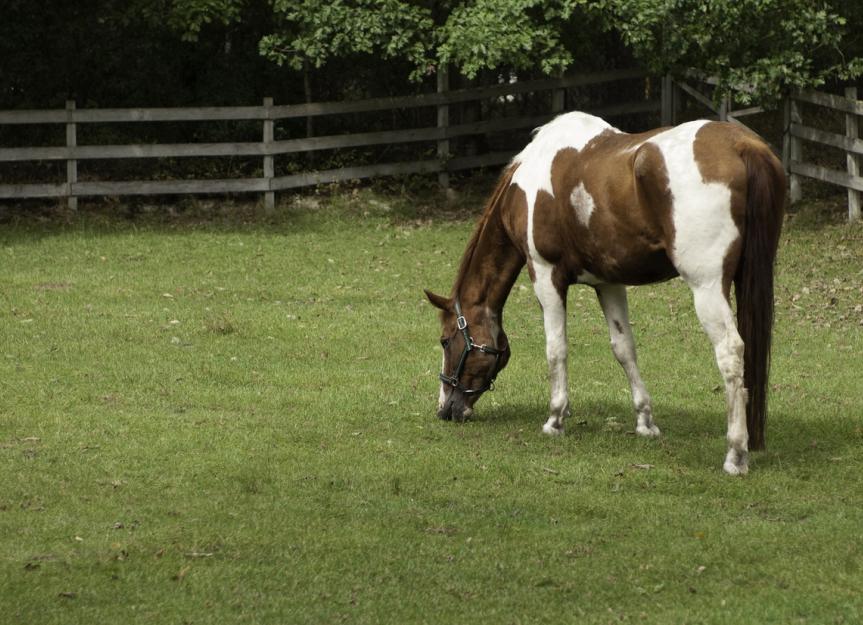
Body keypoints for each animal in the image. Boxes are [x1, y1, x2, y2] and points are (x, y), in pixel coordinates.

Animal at [425, 111, 785, 475]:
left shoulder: (544, 275)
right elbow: (624, 348)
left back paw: (735, 454)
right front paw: (645, 422)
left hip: (707, 287)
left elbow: (556, 349)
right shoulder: (608, 283)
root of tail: (742, 145)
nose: (445, 409)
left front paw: (555, 419)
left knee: (730, 352)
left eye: (446, 341)